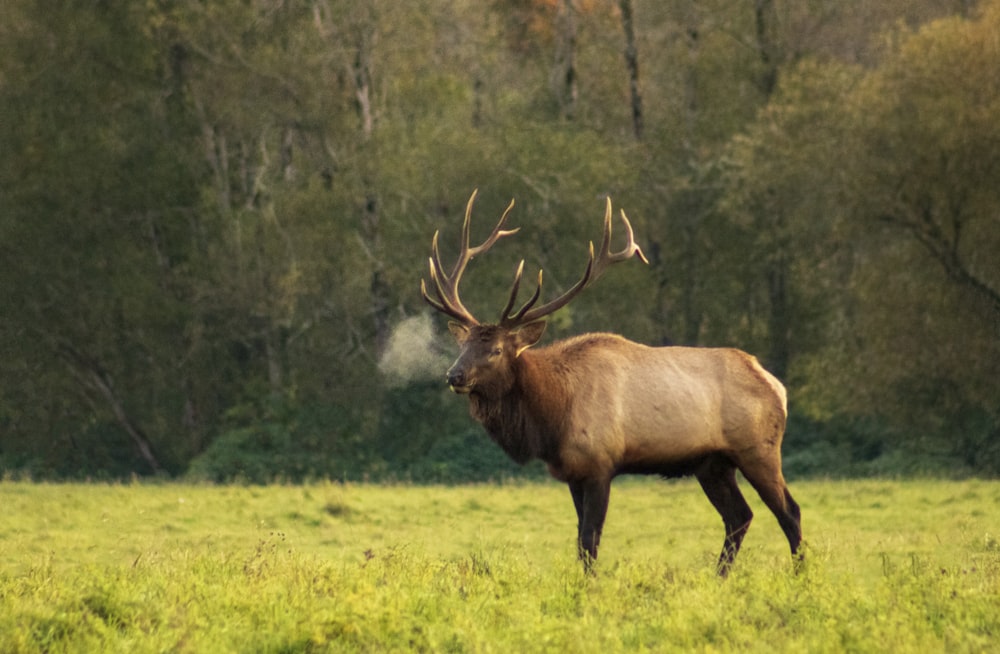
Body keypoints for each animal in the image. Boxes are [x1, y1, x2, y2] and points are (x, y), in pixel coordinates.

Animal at [418, 190, 800, 576]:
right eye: (463, 345)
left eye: (495, 350)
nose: (454, 376)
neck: (553, 419)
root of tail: (776, 386)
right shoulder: (573, 472)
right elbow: (580, 542)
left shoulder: (601, 464)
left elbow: (590, 540)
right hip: (713, 463)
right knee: (739, 516)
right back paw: (719, 579)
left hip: (758, 449)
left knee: (789, 512)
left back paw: (800, 575)